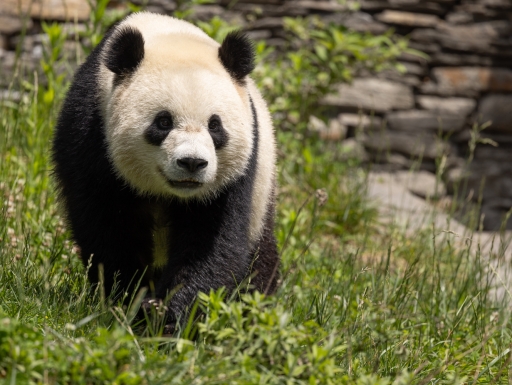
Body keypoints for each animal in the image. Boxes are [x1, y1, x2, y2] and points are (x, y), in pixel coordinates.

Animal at [51, 13, 280, 328]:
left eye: (215, 125)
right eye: (163, 122)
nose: (192, 162)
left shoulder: (238, 173)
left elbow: (213, 242)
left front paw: (169, 313)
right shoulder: (91, 134)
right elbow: (107, 226)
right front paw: (129, 301)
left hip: (263, 194)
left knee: (260, 261)